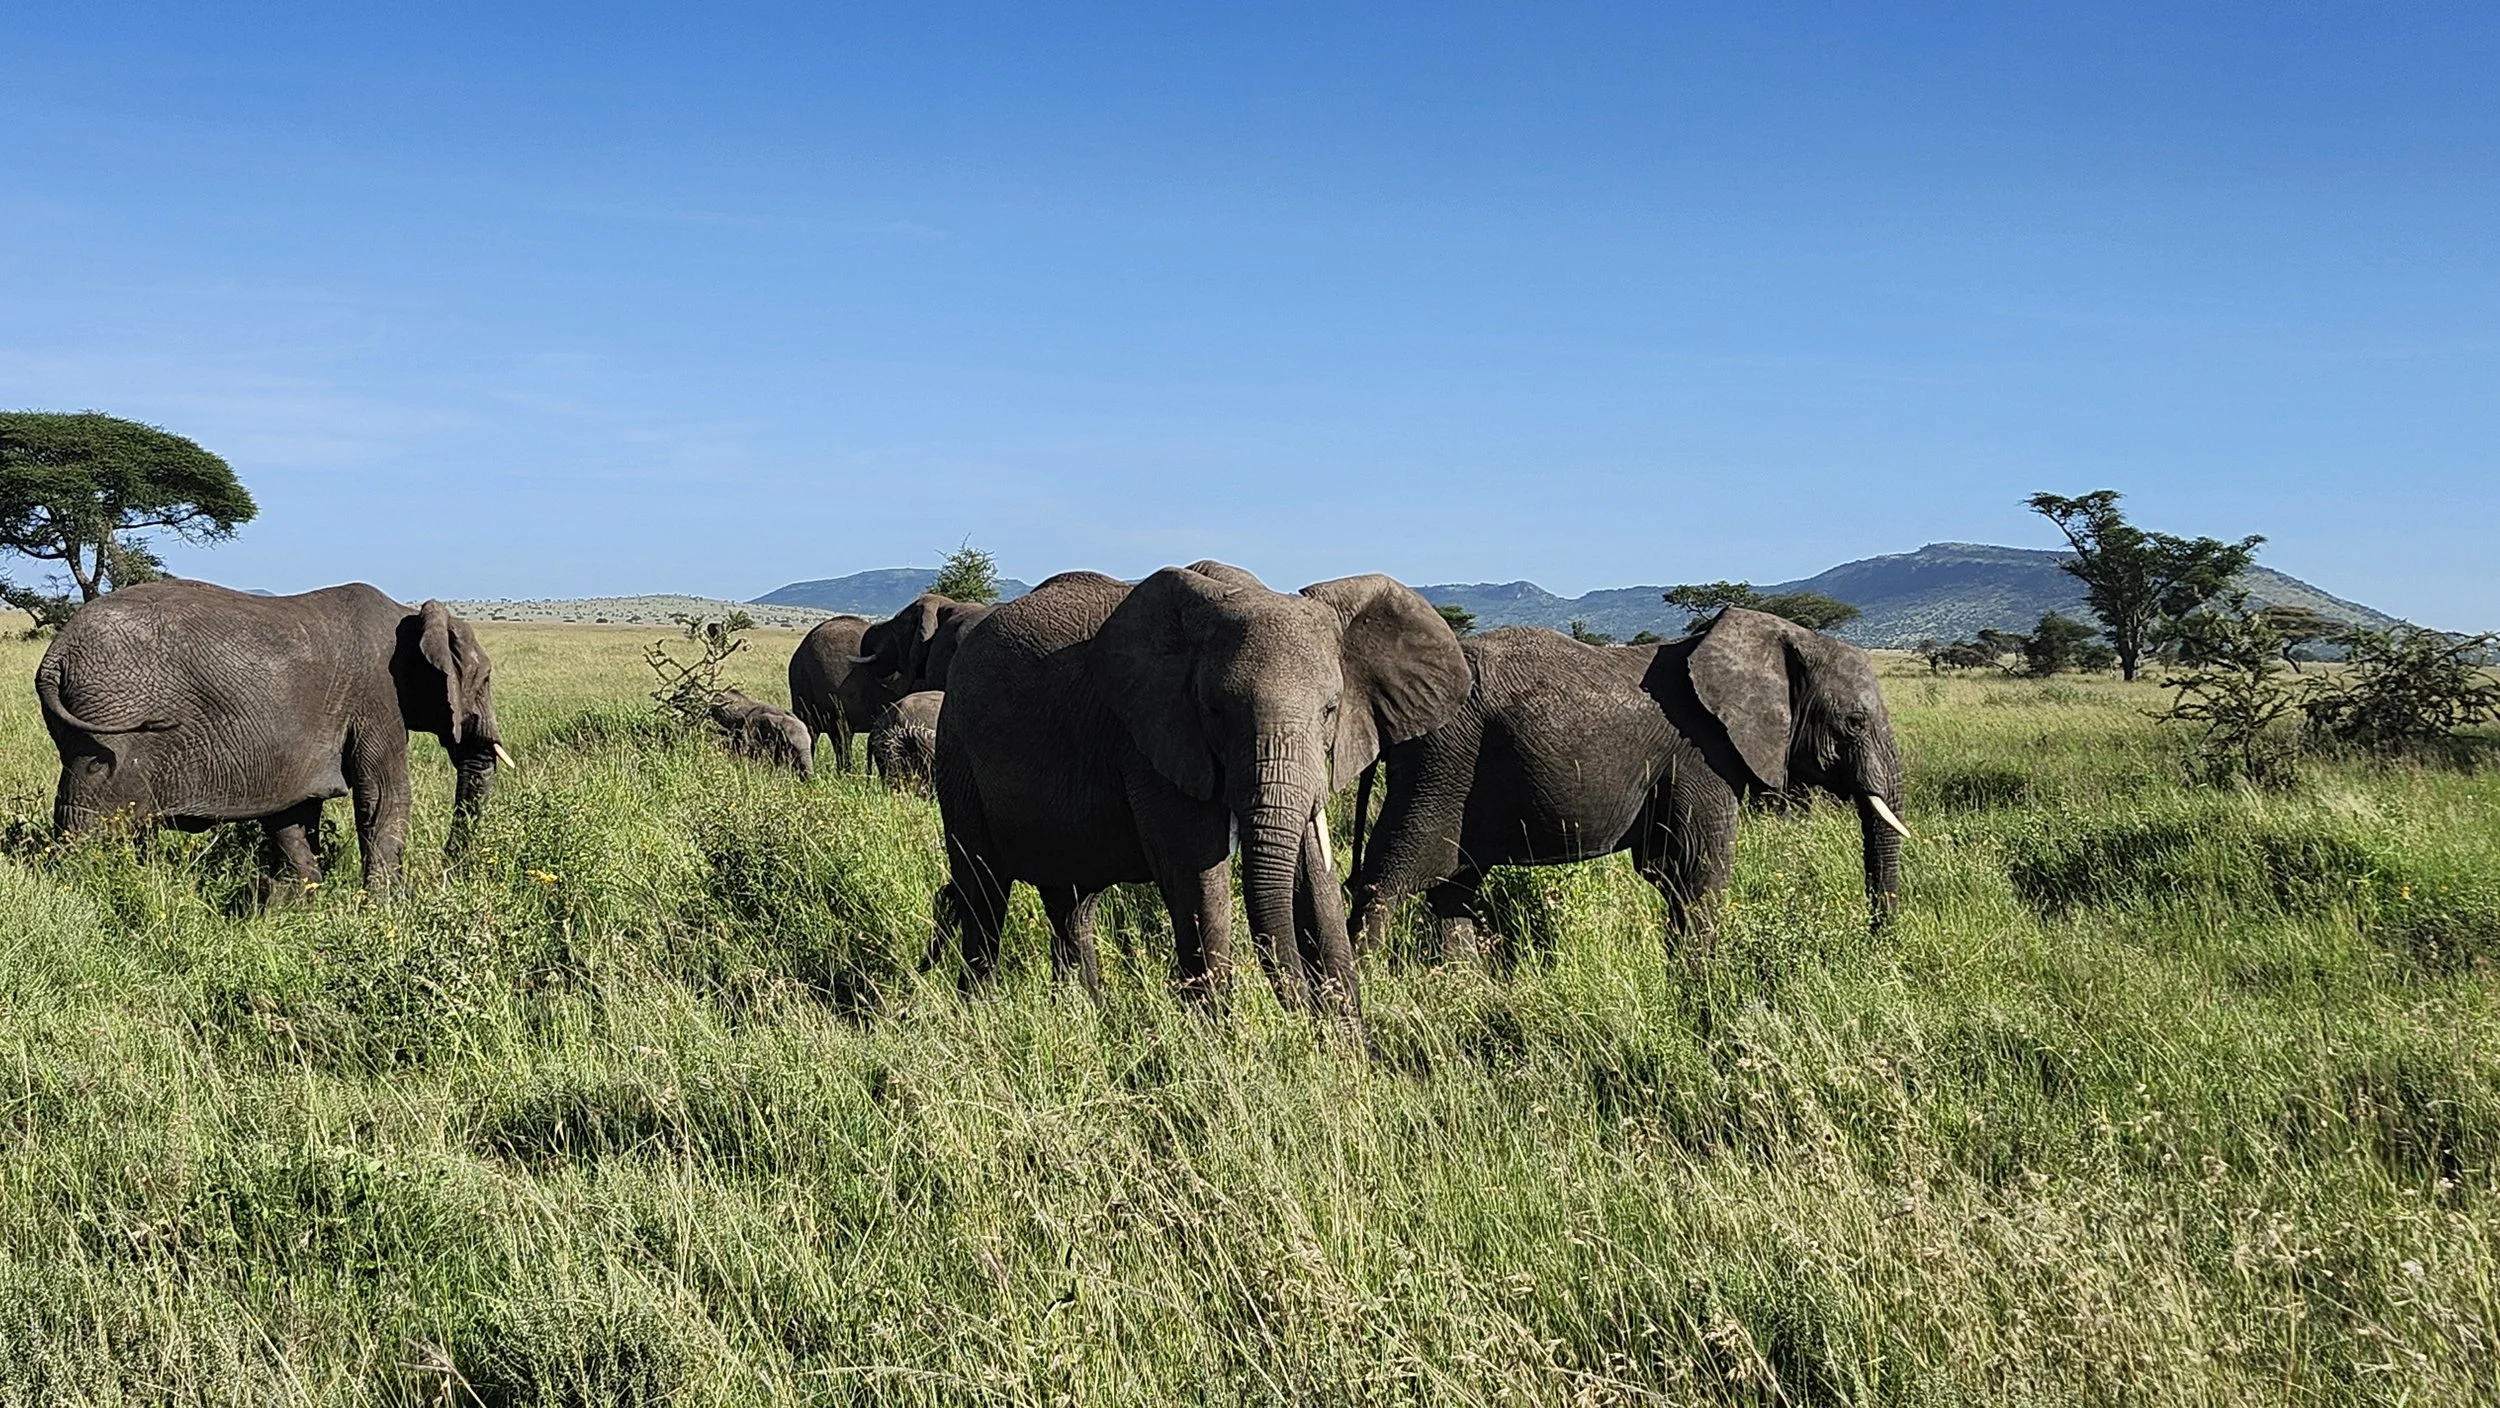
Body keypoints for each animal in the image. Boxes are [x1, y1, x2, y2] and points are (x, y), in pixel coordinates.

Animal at [35, 579, 509, 889]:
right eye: (485, 680)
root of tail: (57, 653)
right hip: (109, 728)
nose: (449, 873)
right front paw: (384, 906)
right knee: (91, 817)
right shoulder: (377, 697)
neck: (410, 617)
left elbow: (294, 807)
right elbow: (383, 795)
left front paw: (296, 898)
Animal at [933, 562, 1468, 1023]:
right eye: (1214, 710)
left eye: (1331, 710)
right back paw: (979, 1015)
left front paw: (1349, 1047)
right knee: (983, 892)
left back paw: (1084, 1016)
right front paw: (1220, 1044)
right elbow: (1197, 878)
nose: (1302, 1006)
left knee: (1071, 903)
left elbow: (1315, 880)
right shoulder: (1152, 742)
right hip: (956, 749)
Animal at [1348, 609, 1907, 962]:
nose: (1875, 947)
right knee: (1388, 878)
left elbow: (1671, 873)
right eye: (1855, 723)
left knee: (1453, 887)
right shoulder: (1701, 755)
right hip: (1441, 764)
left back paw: (1463, 990)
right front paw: (1699, 991)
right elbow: (1698, 870)